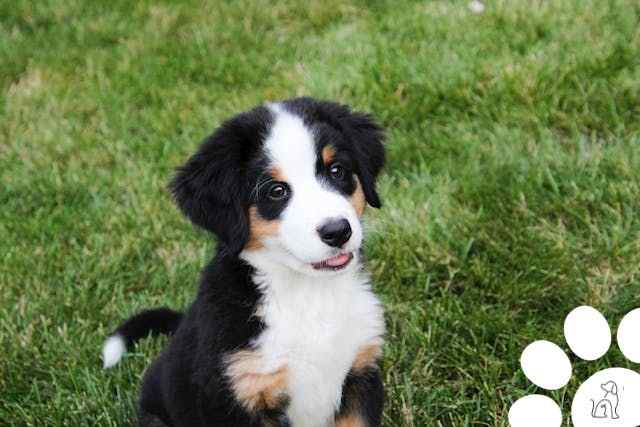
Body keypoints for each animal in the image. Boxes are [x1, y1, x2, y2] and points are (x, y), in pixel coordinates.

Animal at [102, 98, 388, 427]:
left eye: (337, 170)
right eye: (276, 191)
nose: (338, 231)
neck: (307, 295)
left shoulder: (360, 373)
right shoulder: (238, 395)